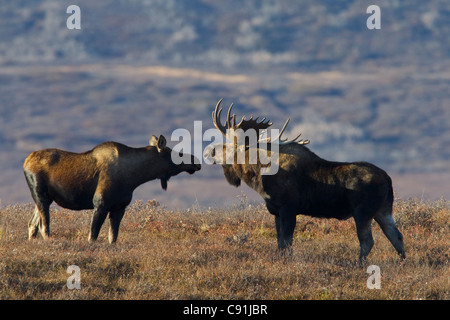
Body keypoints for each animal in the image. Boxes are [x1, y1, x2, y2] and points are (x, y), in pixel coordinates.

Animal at [23, 134, 200, 242]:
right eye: (177, 153)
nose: (196, 162)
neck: (135, 176)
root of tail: (26, 162)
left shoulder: (119, 207)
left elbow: (112, 238)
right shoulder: (101, 204)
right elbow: (93, 236)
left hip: (45, 199)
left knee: (32, 224)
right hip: (41, 195)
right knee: (44, 227)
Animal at [206, 99, 406, 262]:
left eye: (231, 146)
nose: (209, 151)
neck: (260, 175)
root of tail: (388, 180)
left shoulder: (289, 208)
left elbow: (287, 241)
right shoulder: (276, 211)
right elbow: (280, 242)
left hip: (363, 212)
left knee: (367, 241)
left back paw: (359, 264)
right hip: (383, 210)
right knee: (396, 236)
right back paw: (402, 262)